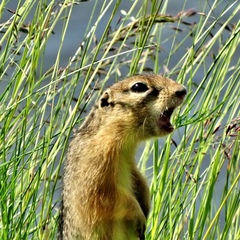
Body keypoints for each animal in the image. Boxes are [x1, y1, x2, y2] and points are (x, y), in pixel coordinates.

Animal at [59, 74, 186, 239]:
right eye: (138, 87)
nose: (182, 90)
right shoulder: (96, 167)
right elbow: (109, 197)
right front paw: (139, 217)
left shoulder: (130, 163)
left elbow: (139, 180)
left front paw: (146, 205)